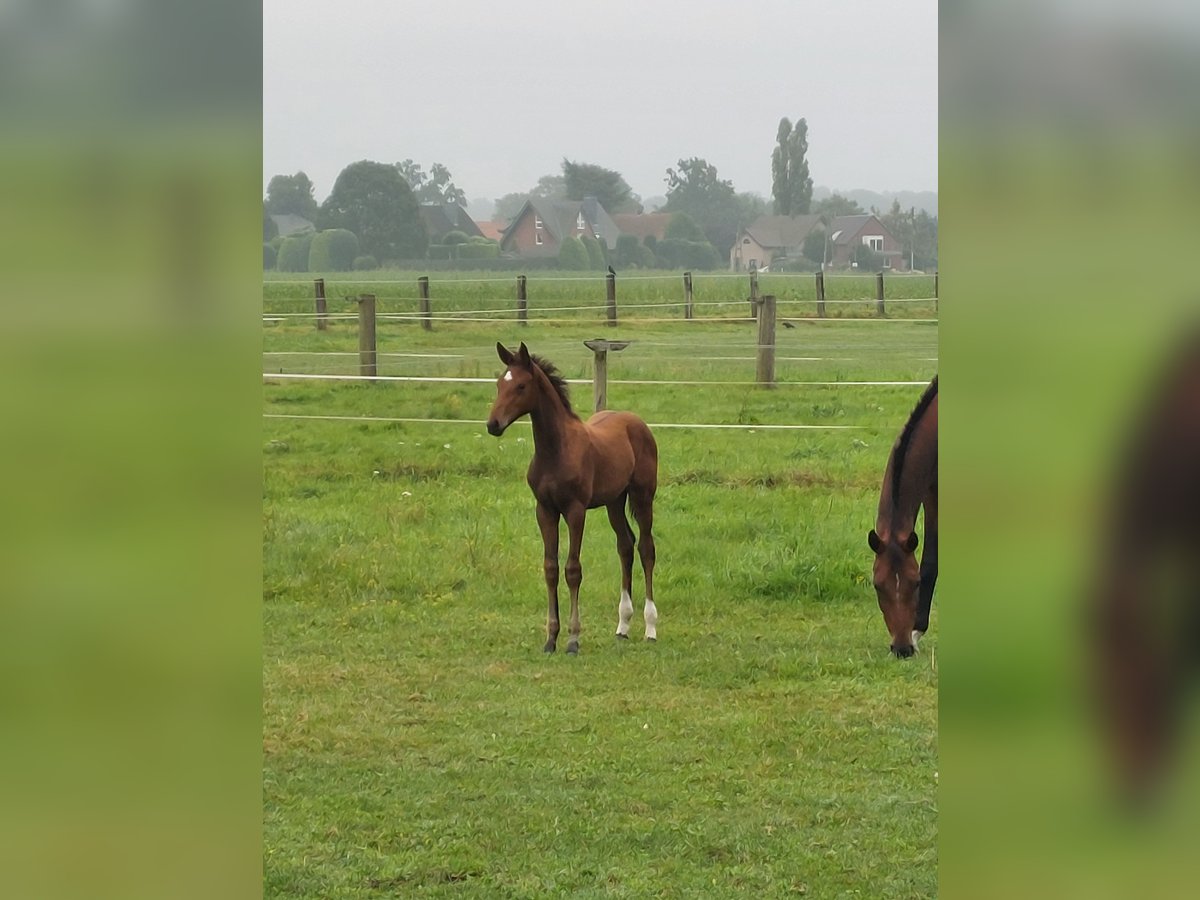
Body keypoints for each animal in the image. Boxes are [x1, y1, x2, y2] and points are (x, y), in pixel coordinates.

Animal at [484, 343, 662, 657]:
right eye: (498, 384)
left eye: (521, 386)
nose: (493, 424)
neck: (556, 450)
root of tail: (637, 421)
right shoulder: (545, 510)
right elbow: (551, 569)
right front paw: (550, 639)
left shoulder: (575, 511)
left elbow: (573, 570)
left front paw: (573, 640)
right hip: (614, 501)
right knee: (625, 546)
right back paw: (623, 626)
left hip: (642, 496)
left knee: (646, 548)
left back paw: (650, 628)